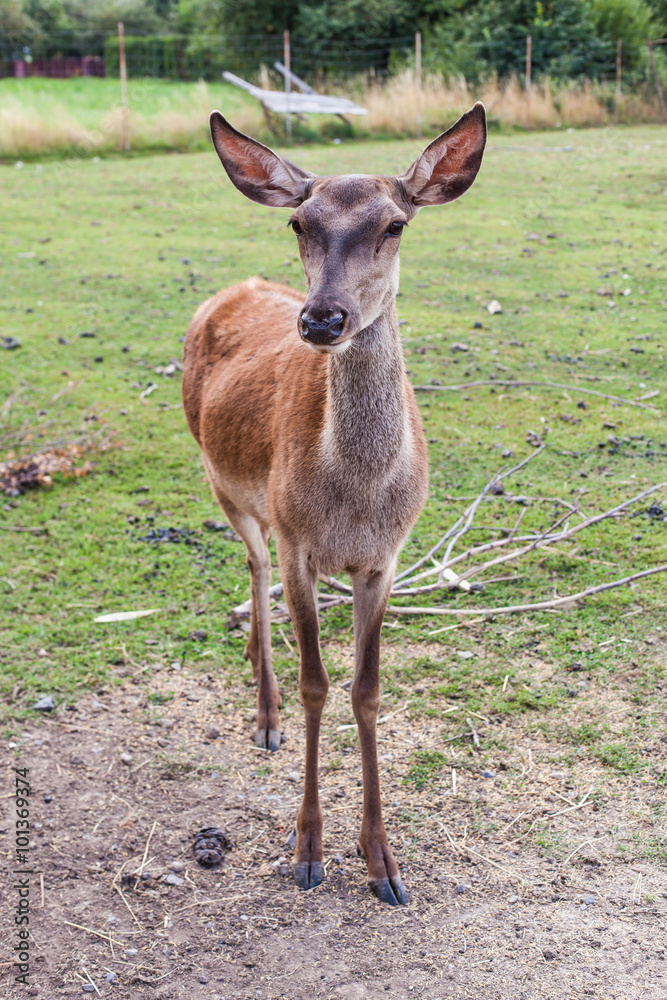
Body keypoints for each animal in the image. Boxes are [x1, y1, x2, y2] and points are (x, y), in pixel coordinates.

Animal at [181, 105, 486, 912]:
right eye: (299, 222)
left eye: (394, 224)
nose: (322, 319)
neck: (356, 500)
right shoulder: (301, 547)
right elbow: (317, 686)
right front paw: (308, 849)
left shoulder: (385, 560)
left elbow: (367, 691)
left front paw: (382, 860)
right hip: (221, 479)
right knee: (253, 565)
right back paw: (265, 712)